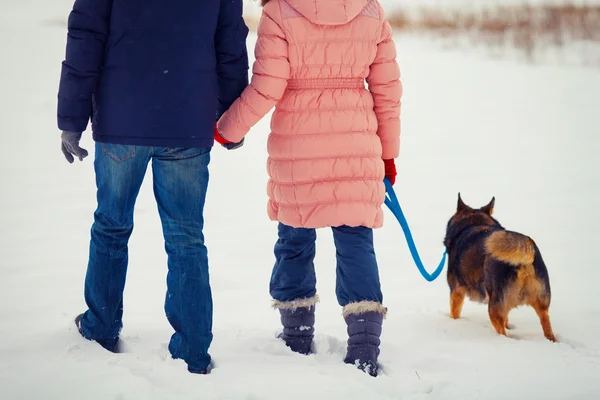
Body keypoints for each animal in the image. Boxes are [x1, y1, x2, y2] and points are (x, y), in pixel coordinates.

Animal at [442, 194, 556, 340]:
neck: (475, 223)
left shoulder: (456, 291)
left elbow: (454, 313)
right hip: (541, 305)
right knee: (547, 326)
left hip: (494, 308)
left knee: (502, 332)